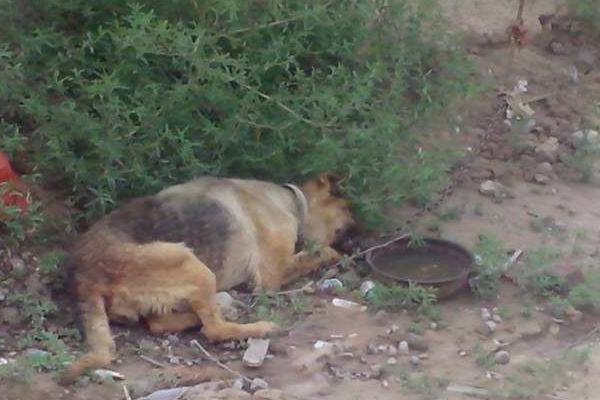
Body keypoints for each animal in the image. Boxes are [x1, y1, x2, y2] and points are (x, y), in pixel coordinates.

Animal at [62, 173, 352, 382]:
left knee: (161, 324)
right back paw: (257, 326)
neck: (291, 201)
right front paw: (332, 254)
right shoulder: (274, 273)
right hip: (192, 264)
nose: (356, 243)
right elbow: (322, 252)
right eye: (348, 214)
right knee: (213, 328)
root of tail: (84, 275)